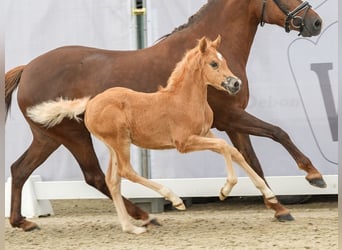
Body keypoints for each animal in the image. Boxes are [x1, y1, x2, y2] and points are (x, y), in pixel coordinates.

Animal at [26, 36, 278, 233]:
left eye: (225, 61)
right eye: (214, 63)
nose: (235, 84)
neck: (185, 99)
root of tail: (89, 104)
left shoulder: (206, 133)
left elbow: (234, 151)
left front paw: (269, 193)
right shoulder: (184, 143)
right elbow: (226, 148)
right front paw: (225, 190)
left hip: (112, 146)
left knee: (112, 180)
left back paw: (131, 227)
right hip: (120, 142)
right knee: (127, 171)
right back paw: (173, 199)